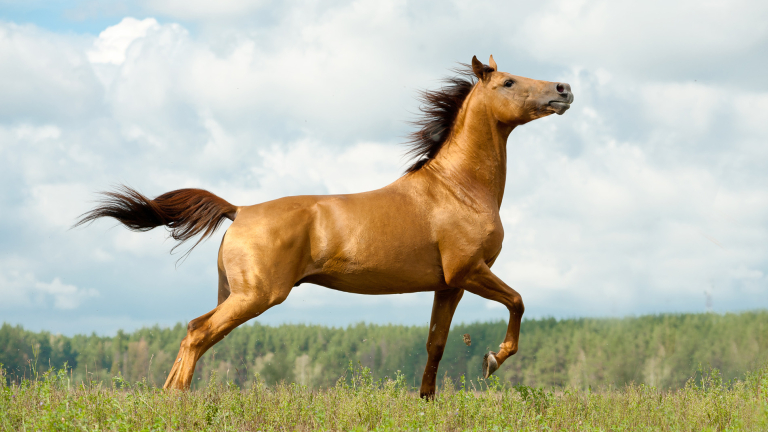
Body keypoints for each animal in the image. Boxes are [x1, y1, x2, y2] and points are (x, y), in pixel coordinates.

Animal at [78, 54, 572, 398]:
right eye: (509, 82)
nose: (564, 89)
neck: (457, 188)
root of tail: (240, 209)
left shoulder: (448, 284)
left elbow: (436, 343)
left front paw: (427, 401)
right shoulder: (471, 271)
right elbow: (518, 302)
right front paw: (493, 360)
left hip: (233, 293)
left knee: (193, 328)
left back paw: (166, 395)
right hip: (256, 296)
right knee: (199, 334)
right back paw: (176, 400)